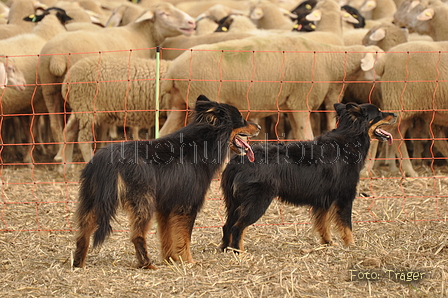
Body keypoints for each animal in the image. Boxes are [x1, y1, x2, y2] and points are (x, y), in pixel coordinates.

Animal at [39, 1, 197, 163]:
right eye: (164, 14)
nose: (191, 22)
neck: (139, 34)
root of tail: (57, 57)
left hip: (49, 90)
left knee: (56, 125)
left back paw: (60, 156)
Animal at [72, 95, 260, 268]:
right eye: (241, 119)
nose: (258, 127)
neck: (200, 144)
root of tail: (106, 159)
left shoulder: (166, 207)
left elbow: (167, 236)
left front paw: (171, 259)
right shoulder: (187, 206)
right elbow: (184, 237)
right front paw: (189, 261)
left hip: (92, 201)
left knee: (83, 234)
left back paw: (78, 264)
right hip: (143, 202)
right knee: (136, 235)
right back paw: (147, 264)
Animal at [159, 33, 384, 140]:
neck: (329, 62)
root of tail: (172, 71)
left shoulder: (291, 105)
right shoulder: (300, 100)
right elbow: (306, 134)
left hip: (180, 103)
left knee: (163, 131)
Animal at [220, 102, 396, 251]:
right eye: (379, 113)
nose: (395, 113)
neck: (349, 139)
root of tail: (237, 161)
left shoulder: (324, 200)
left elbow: (323, 225)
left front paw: (328, 243)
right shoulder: (345, 197)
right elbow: (347, 226)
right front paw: (351, 245)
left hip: (235, 203)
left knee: (227, 226)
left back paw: (226, 250)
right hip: (257, 202)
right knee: (237, 227)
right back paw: (239, 252)